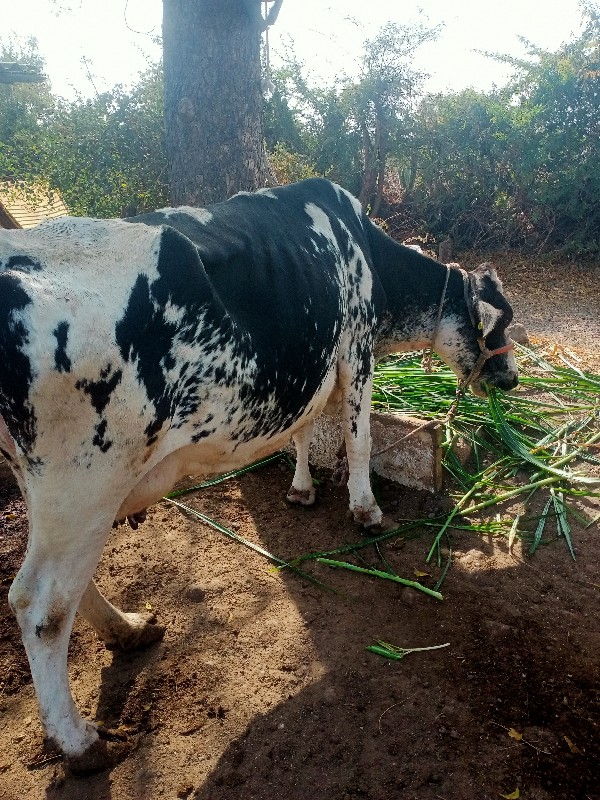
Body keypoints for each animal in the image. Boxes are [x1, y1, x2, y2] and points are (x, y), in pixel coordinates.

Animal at [0, 180, 516, 768]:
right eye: (501, 321)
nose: (512, 380)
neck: (364, 251)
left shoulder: (314, 362)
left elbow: (303, 430)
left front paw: (302, 490)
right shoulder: (356, 349)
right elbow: (358, 439)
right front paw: (365, 510)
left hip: (47, 487)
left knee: (68, 588)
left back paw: (128, 630)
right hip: (84, 481)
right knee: (40, 605)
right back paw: (79, 740)